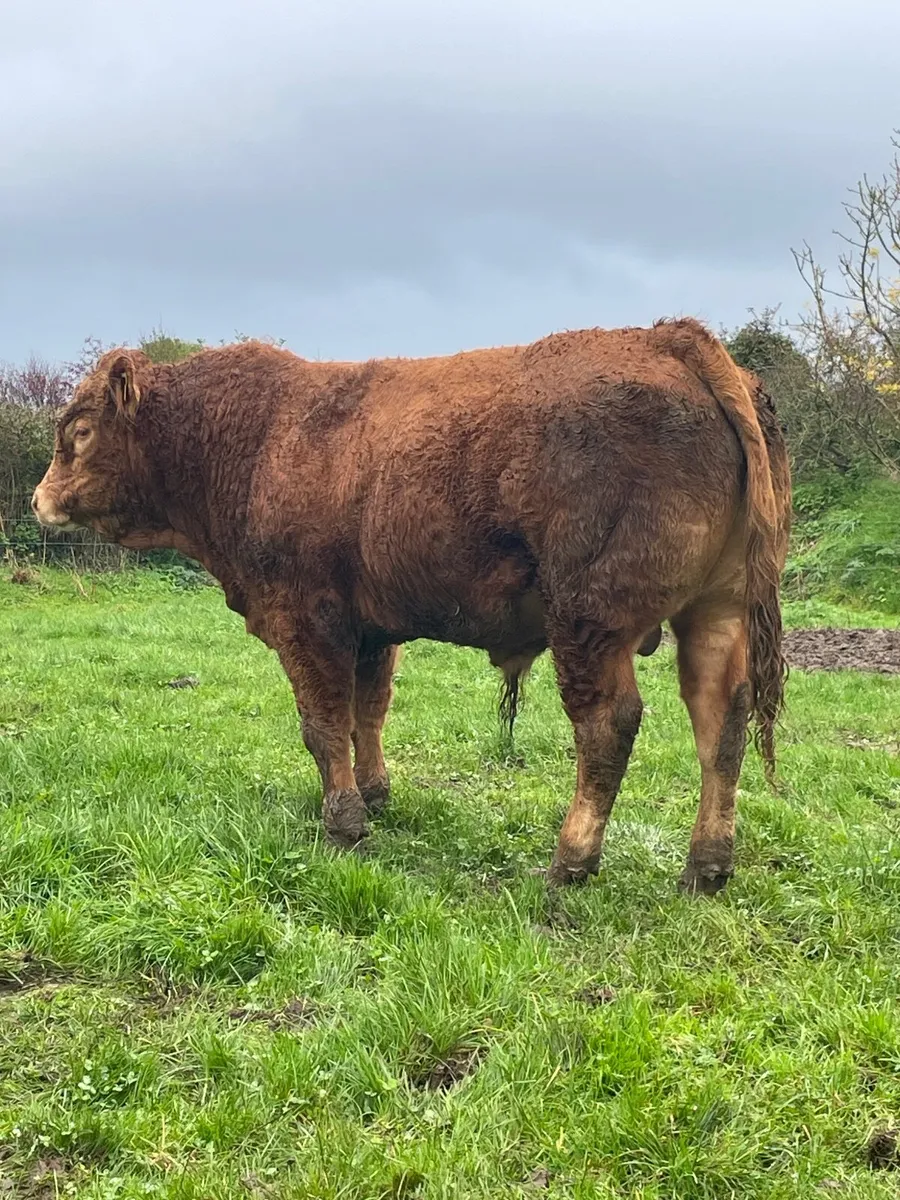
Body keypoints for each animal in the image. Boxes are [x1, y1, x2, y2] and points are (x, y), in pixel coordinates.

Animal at [32, 319, 791, 893]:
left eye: (79, 431)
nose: (39, 498)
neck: (255, 439)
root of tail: (671, 337)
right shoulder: (371, 629)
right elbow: (367, 712)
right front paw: (375, 793)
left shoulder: (306, 620)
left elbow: (322, 723)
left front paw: (343, 822)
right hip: (715, 611)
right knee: (721, 720)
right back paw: (705, 868)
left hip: (589, 622)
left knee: (609, 726)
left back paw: (569, 862)